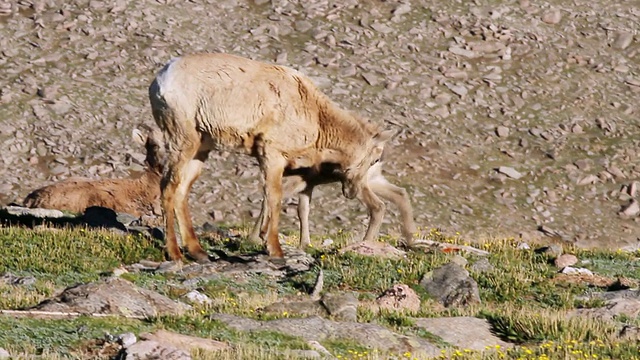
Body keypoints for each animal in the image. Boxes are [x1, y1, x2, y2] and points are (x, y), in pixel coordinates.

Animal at [149, 52, 396, 262]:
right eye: (374, 160)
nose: (352, 192)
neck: (317, 117)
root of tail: (160, 81)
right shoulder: (273, 155)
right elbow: (274, 197)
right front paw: (275, 250)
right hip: (183, 141)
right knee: (168, 188)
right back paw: (175, 254)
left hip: (200, 150)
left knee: (181, 191)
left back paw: (198, 252)